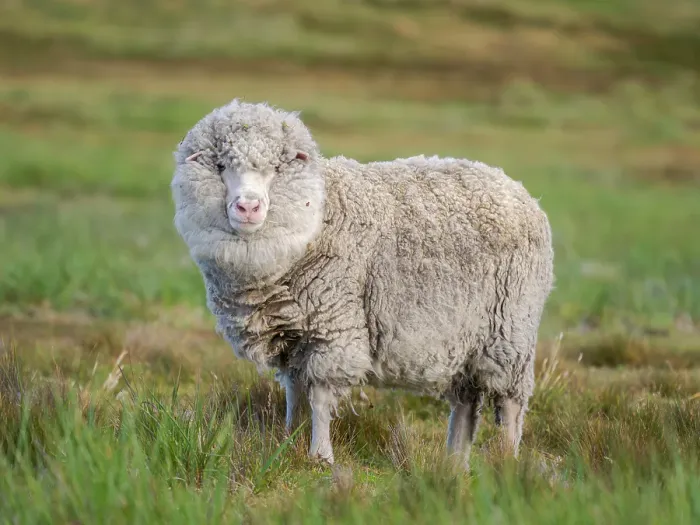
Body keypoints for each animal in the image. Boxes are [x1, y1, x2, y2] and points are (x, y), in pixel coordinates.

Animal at [170, 99, 554, 469]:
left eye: (277, 169)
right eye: (221, 166)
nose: (248, 207)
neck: (320, 217)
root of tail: (520, 191)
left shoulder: (333, 328)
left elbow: (320, 398)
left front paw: (320, 457)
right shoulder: (293, 338)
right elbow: (295, 394)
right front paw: (289, 442)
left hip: (509, 331)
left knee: (510, 403)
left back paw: (506, 461)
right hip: (466, 339)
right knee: (466, 403)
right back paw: (454, 463)